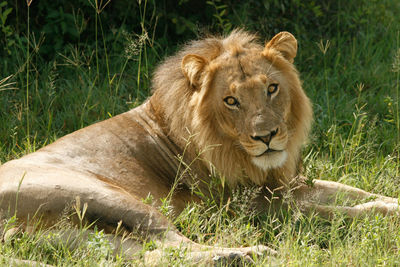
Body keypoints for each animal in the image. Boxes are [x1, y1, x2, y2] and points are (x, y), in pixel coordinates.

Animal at [0, 29, 398, 266]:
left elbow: (352, 192)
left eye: (272, 88)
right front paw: (386, 215)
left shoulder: (285, 185)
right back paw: (255, 252)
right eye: (231, 101)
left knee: (155, 257)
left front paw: (390, 200)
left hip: (87, 235)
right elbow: (337, 212)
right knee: (174, 244)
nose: (266, 136)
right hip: (110, 198)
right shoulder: (253, 205)